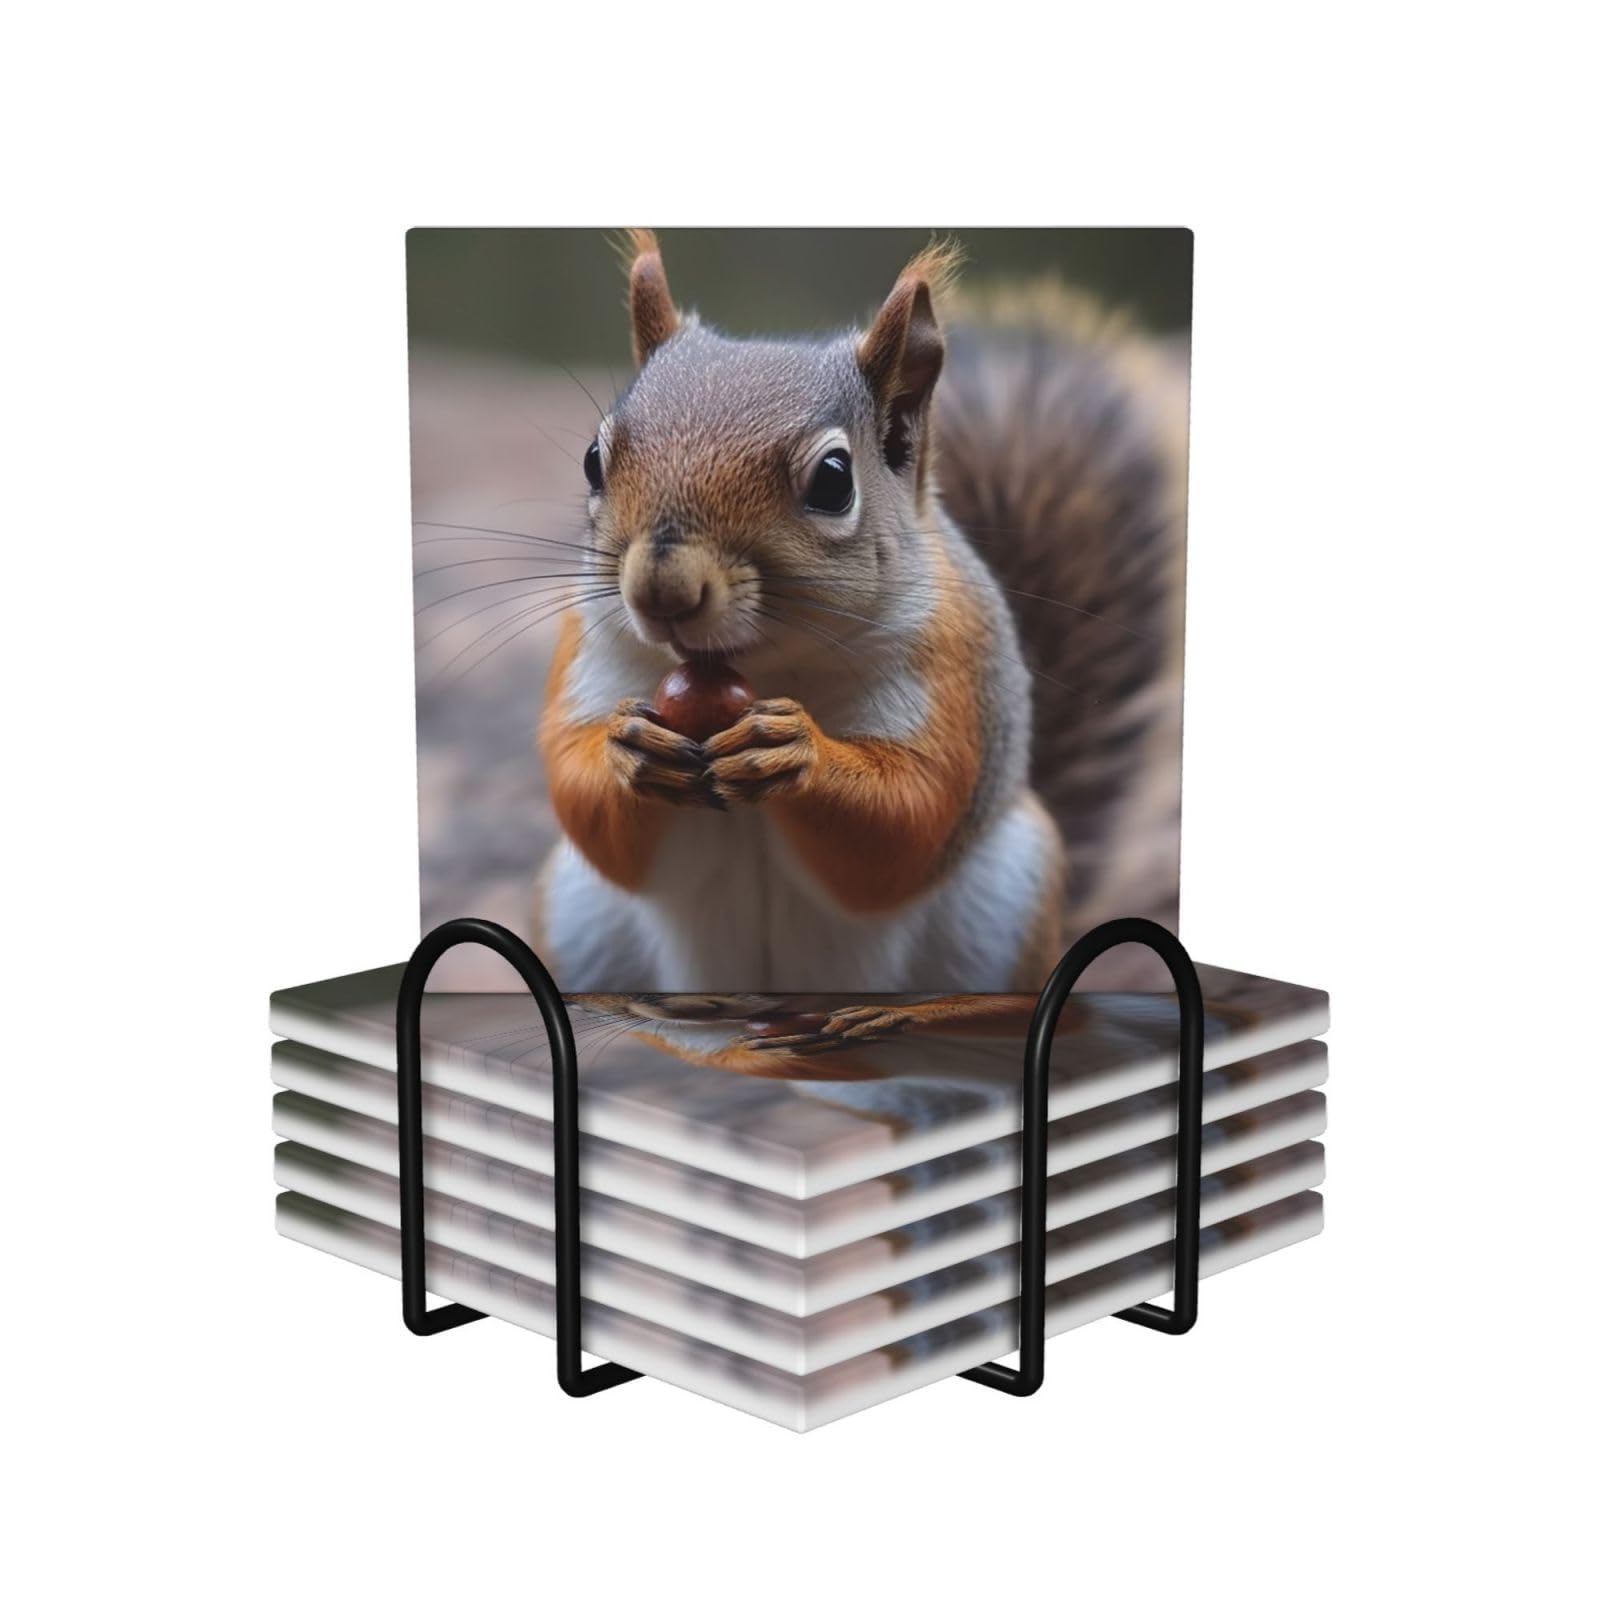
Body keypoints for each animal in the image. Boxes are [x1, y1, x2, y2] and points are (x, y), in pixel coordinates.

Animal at [534, 230, 1186, 994]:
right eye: (592, 459)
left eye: (833, 481)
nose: (662, 590)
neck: (764, 664)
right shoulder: (590, 650)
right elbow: (579, 792)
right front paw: (627, 750)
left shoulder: (951, 667)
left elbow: (908, 815)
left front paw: (795, 751)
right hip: (579, 917)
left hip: (1008, 903)